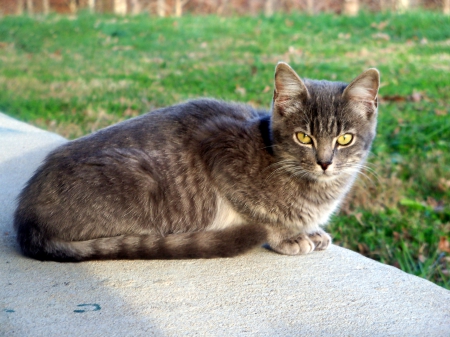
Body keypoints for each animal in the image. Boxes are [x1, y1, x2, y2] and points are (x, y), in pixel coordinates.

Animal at [13, 63, 380, 262]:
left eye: (344, 139)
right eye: (304, 137)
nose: (324, 162)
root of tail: (25, 217)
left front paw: (311, 229)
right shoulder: (218, 147)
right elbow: (261, 213)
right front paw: (287, 235)